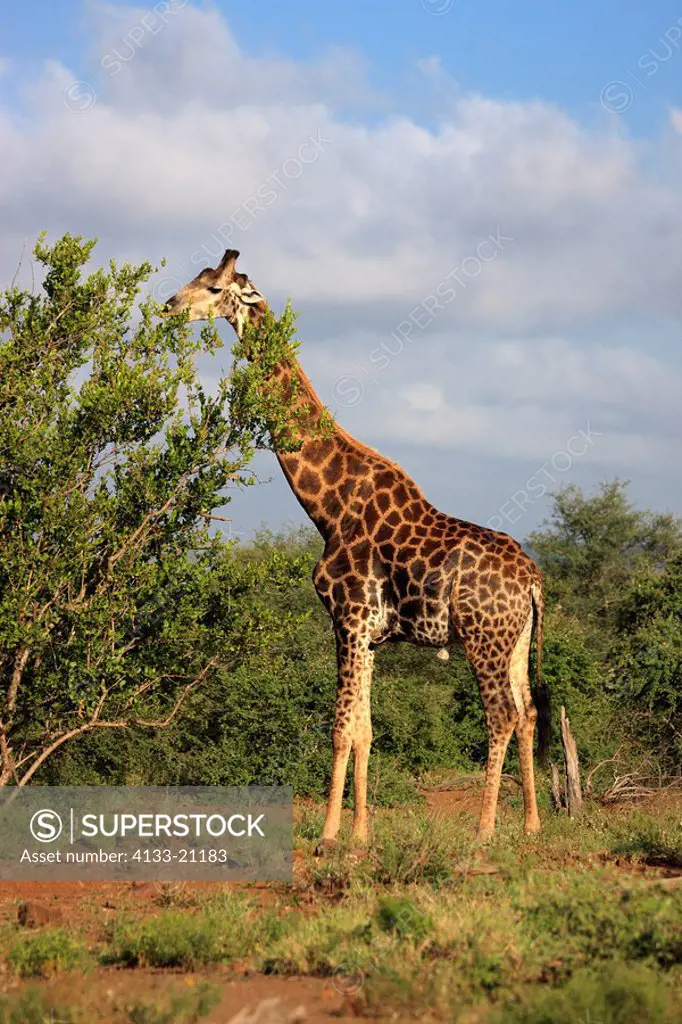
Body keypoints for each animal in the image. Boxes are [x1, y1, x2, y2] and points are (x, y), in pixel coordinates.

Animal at [163, 251, 548, 843]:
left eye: (212, 287)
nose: (168, 306)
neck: (329, 507)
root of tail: (531, 579)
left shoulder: (346, 617)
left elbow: (341, 728)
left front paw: (327, 834)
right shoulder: (369, 634)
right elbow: (365, 729)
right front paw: (361, 834)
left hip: (482, 639)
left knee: (502, 714)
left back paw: (484, 830)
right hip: (516, 641)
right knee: (528, 711)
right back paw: (530, 825)